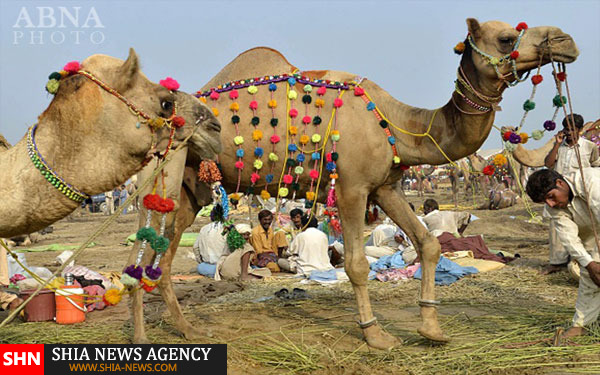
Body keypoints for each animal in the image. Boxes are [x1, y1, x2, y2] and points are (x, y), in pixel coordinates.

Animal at [129, 19, 580, 350]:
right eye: (506, 38)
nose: (566, 40)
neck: (400, 124)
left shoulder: (386, 186)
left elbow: (428, 243)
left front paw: (432, 328)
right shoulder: (351, 186)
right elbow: (356, 264)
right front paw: (376, 334)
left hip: (191, 187)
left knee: (162, 254)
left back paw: (187, 330)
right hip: (163, 170)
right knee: (141, 250)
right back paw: (140, 337)